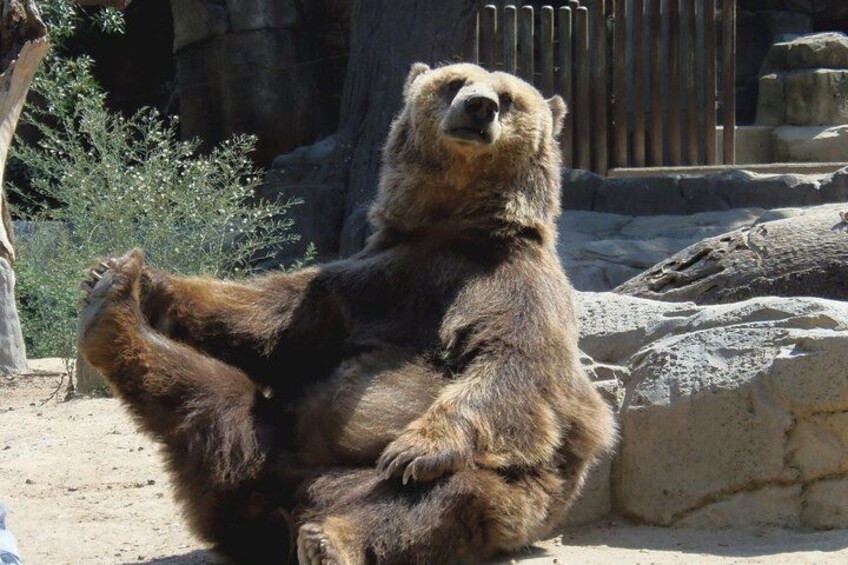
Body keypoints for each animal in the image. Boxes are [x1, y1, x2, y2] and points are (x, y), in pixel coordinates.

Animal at [77, 62, 616, 564]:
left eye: (508, 97)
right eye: (455, 82)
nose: (478, 107)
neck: (454, 228)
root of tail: (285, 504)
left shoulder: (513, 288)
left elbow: (514, 365)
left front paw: (417, 446)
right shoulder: (375, 279)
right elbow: (272, 318)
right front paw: (137, 276)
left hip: (488, 496)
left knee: (436, 500)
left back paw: (331, 538)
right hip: (266, 444)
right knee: (210, 396)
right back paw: (111, 305)